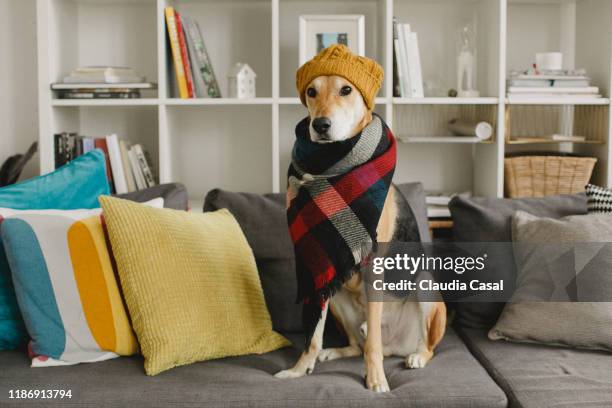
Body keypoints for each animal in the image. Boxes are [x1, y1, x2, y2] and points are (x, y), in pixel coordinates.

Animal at [274, 74, 448, 392]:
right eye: (311, 91)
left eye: (346, 89)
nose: (320, 125)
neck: (335, 170)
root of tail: (396, 347)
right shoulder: (322, 269)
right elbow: (313, 337)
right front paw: (299, 369)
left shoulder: (373, 269)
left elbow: (372, 347)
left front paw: (376, 380)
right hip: (338, 296)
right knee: (356, 344)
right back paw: (334, 352)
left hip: (425, 284)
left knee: (423, 346)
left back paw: (416, 356)